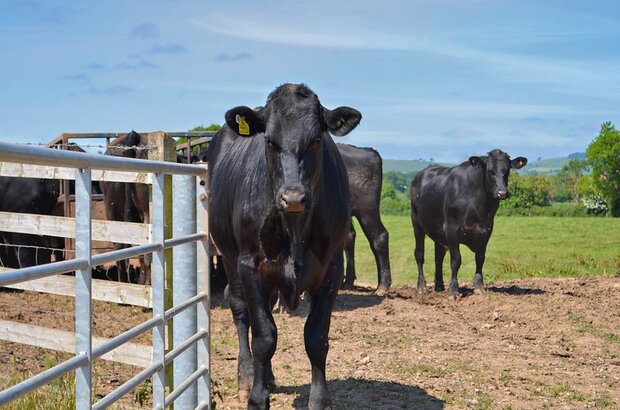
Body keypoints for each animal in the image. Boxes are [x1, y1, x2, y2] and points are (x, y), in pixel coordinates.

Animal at [211, 84, 360, 410]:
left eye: (316, 139)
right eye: (269, 140)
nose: (293, 197)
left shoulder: (332, 268)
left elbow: (316, 338)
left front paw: (320, 401)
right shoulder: (250, 265)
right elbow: (264, 337)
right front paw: (257, 398)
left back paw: (266, 377)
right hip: (229, 259)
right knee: (241, 310)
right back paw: (247, 378)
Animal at [336, 143, 390, 294]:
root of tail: (368, 151)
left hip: (367, 212)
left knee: (379, 237)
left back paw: (383, 286)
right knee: (349, 236)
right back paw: (348, 282)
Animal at [410, 149, 524, 300]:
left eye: (507, 170)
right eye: (490, 171)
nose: (502, 193)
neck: (476, 204)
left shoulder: (487, 229)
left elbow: (480, 258)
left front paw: (478, 287)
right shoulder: (451, 229)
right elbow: (456, 260)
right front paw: (454, 290)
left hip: (438, 231)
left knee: (438, 256)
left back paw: (439, 285)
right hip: (416, 222)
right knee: (419, 254)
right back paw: (421, 286)